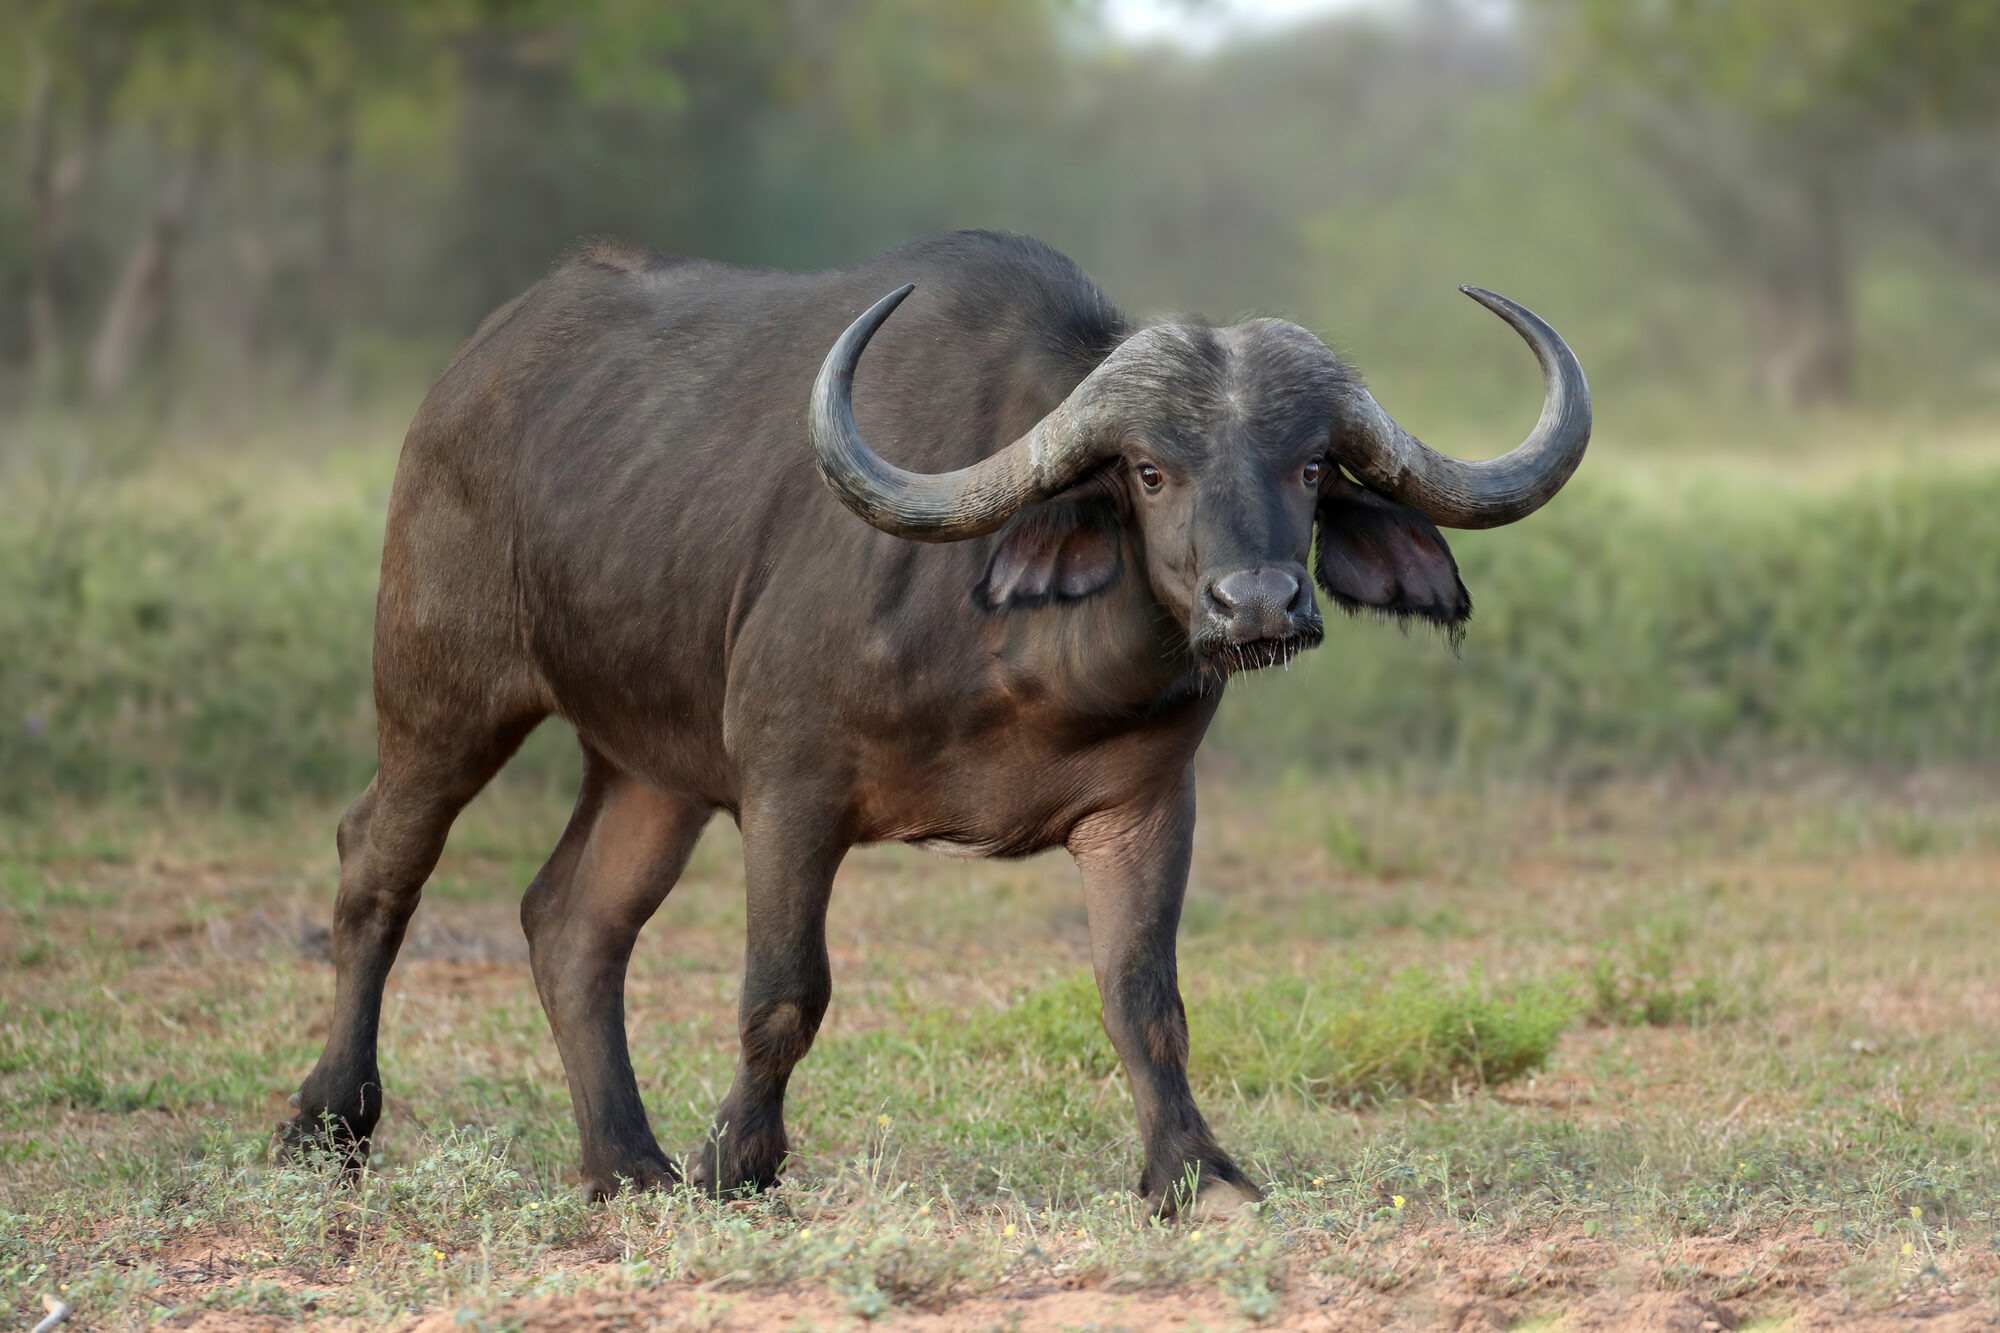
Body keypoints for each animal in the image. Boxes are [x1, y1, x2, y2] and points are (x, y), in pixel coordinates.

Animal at [279, 230, 1589, 1217]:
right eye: (1148, 470)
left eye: (1312, 466)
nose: (1255, 603)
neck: (1021, 666)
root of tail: (468, 379)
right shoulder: (788, 791)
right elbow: (784, 990)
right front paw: (737, 1164)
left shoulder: (1145, 805)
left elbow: (1142, 997)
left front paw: (1195, 1174)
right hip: (443, 688)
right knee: (377, 862)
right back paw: (327, 1121)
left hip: (649, 767)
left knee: (571, 920)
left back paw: (626, 1164)